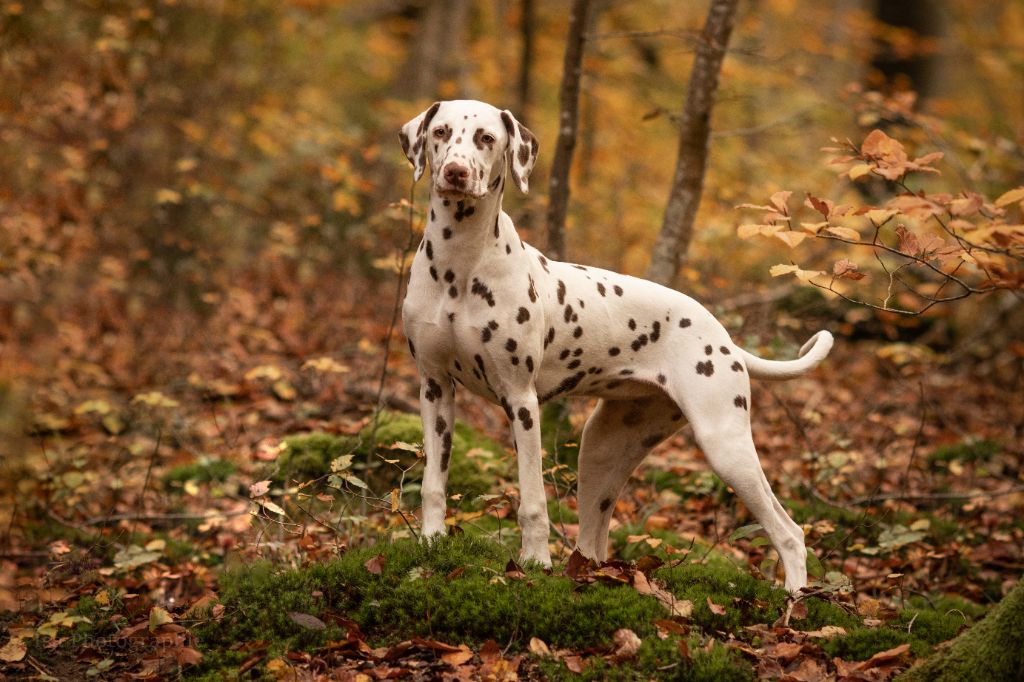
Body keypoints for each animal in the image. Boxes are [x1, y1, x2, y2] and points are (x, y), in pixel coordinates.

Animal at [397, 99, 831, 589]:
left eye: (486, 138)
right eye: (441, 132)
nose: (455, 172)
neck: (460, 265)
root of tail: (726, 341)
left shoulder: (521, 401)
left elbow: (533, 501)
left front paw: (534, 563)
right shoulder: (435, 388)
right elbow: (434, 484)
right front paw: (431, 543)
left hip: (725, 444)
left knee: (789, 531)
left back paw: (794, 597)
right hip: (603, 450)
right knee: (594, 539)